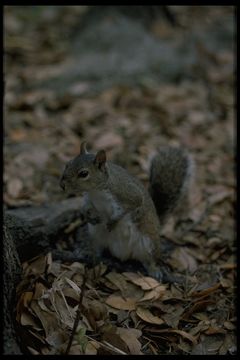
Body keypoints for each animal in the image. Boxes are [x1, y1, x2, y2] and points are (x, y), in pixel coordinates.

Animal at [60, 142, 195, 280]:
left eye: (83, 173)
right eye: (67, 164)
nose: (62, 185)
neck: (97, 191)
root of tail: (123, 254)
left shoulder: (128, 194)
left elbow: (130, 206)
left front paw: (113, 222)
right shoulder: (89, 198)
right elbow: (85, 207)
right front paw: (90, 217)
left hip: (149, 244)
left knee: (150, 260)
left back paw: (155, 270)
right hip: (96, 235)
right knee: (97, 249)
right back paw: (88, 252)